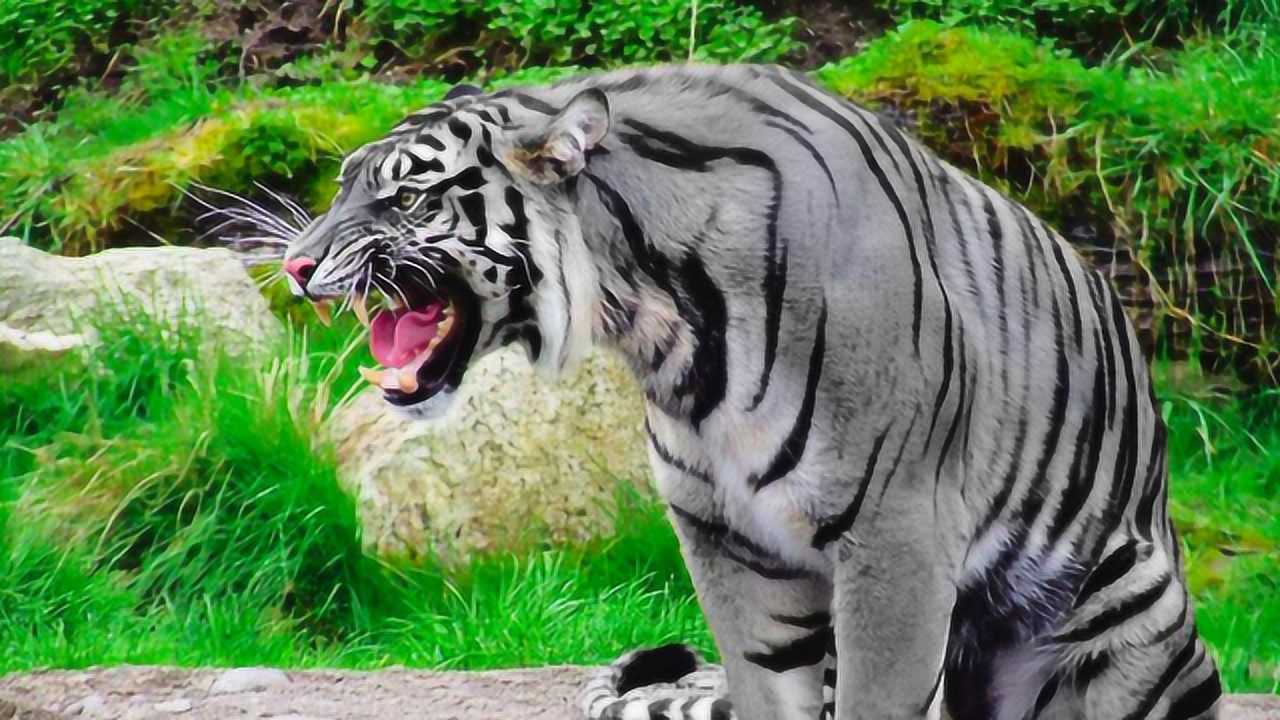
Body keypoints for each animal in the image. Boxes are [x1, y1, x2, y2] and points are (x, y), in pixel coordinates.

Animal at [281, 64, 1222, 720]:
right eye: (345, 183)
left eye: (408, 196)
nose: (294, 265)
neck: (668, 333)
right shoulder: (731, 540)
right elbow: (769, 689)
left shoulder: (898, 539)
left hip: (1133, 601)